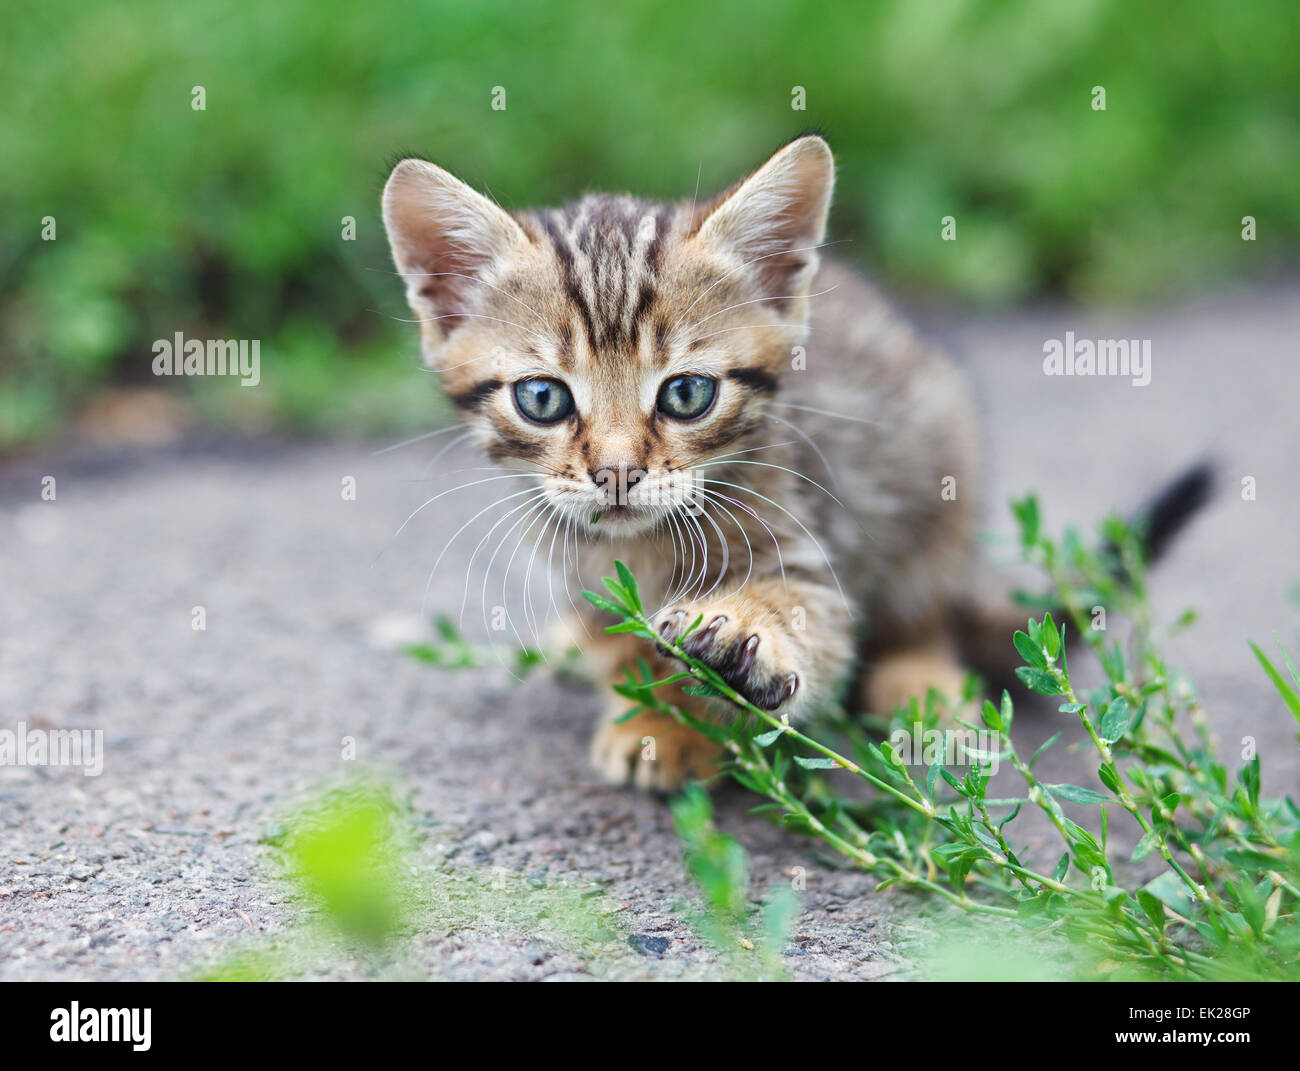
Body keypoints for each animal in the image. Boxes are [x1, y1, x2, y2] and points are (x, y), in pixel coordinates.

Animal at [379, 135, 977, 785]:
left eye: (687, 394)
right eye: (542, 398)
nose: (617, 473)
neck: (639, 548)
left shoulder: (807, 536)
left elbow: (813, 617)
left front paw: (732, 652)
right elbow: (620, 643)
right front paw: (654, 718)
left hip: (937, 479)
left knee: (927, 606)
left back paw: (924, 686)